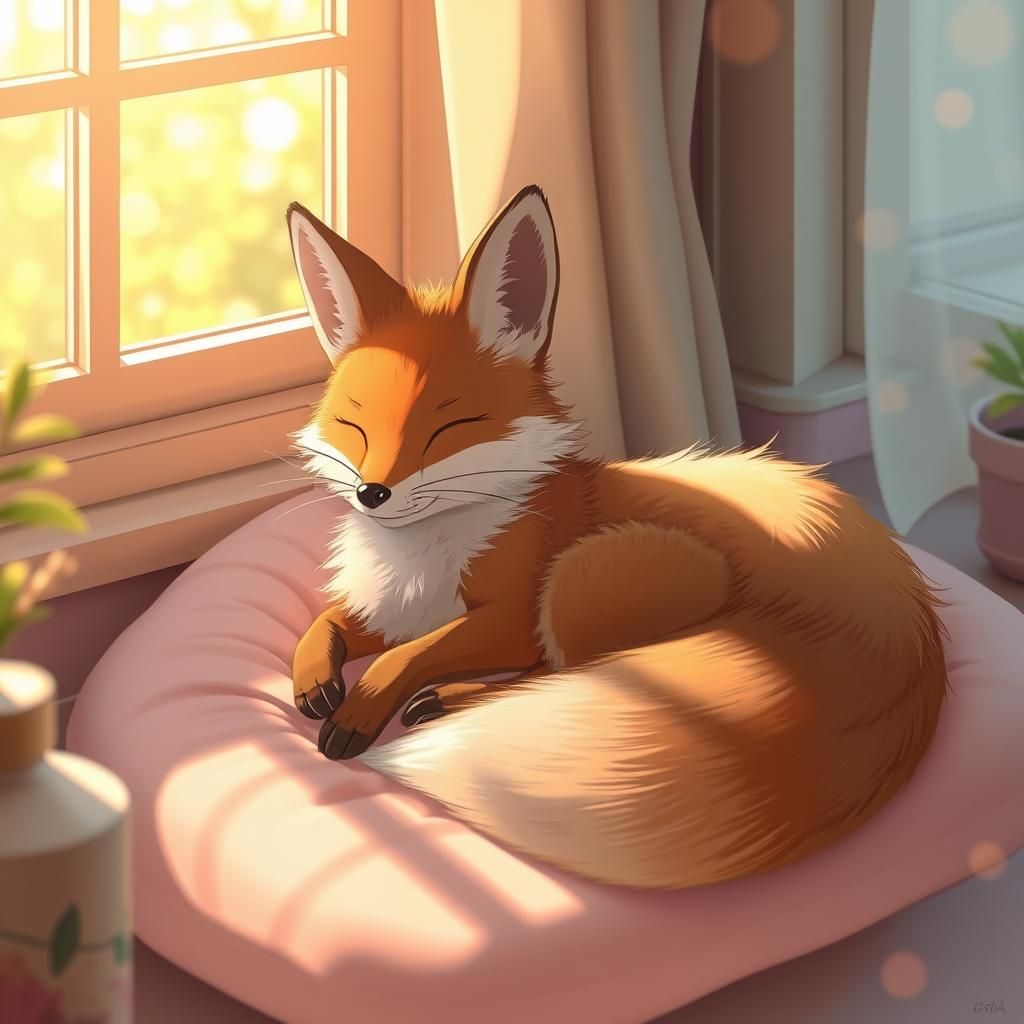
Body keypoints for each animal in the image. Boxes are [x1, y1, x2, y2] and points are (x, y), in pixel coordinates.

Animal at [283, 184, 949, 891]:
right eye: (354, 427)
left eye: (449, 429)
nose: (372, 494)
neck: (425, 551)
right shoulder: (400, 607)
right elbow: (331, 623)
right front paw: (316, 678)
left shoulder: (510, 615)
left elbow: (404, 658)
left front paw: (360, 709)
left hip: (581, 576)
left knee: (555, 675)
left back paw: (445, 704)